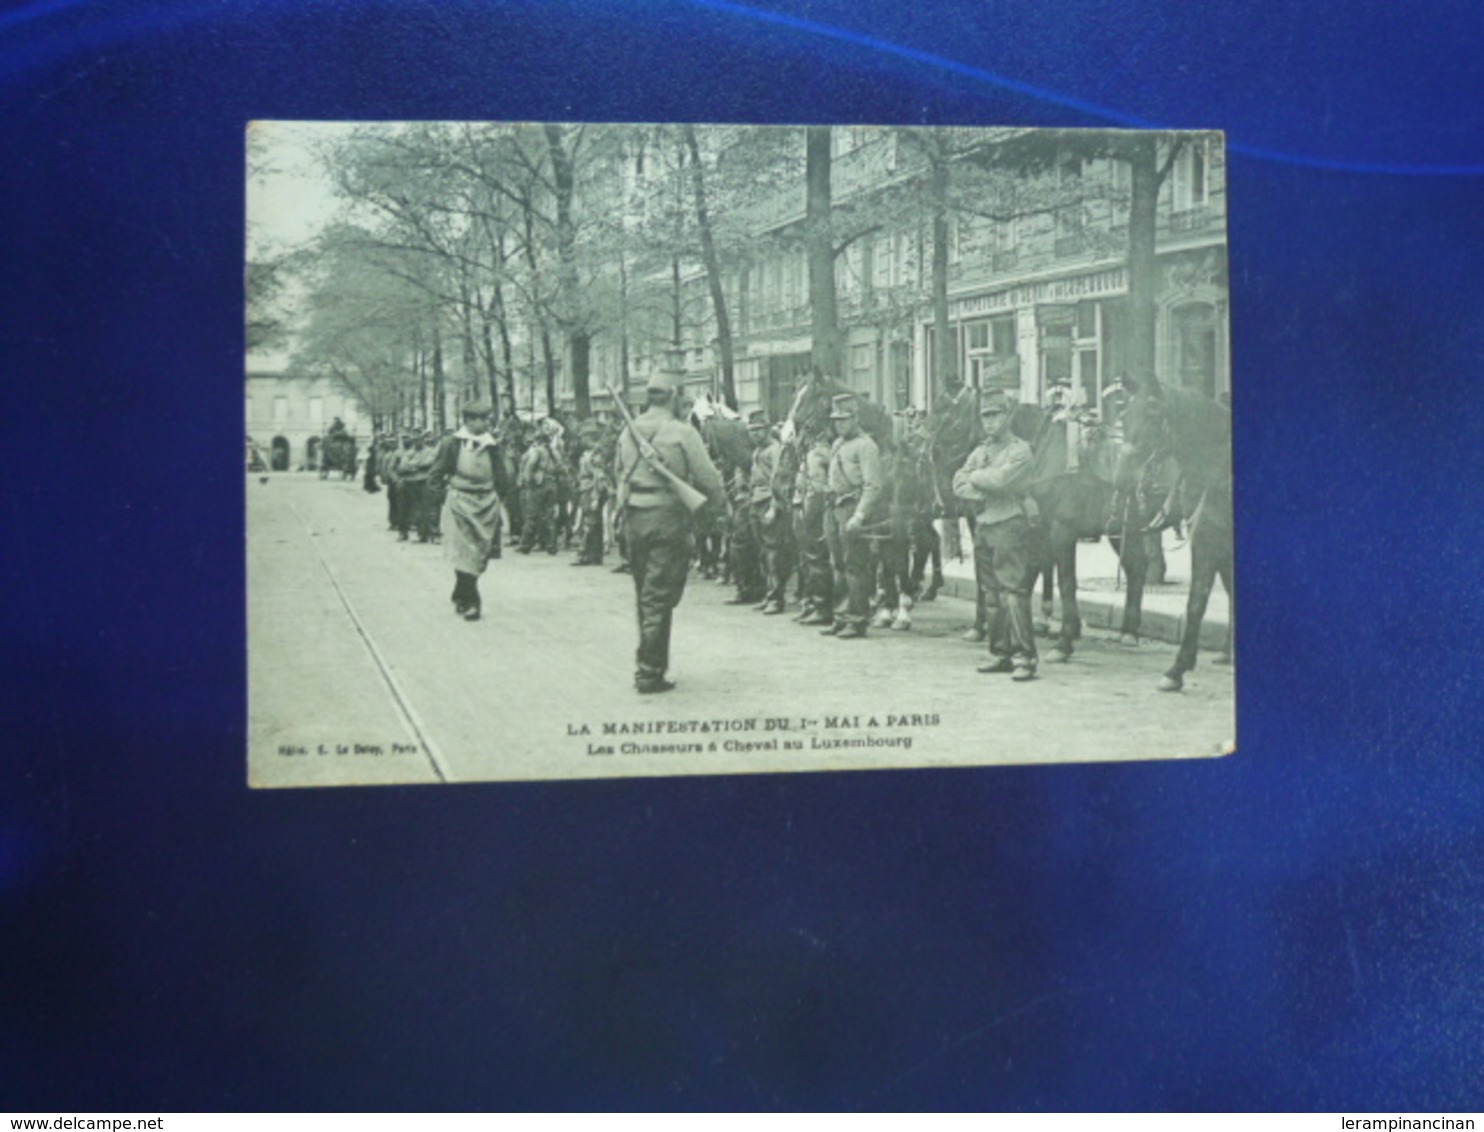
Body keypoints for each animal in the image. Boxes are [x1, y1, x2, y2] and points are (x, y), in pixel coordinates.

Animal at [1115, 373, 1234, 691]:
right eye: (1125, 416)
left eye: (1153, 414)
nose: (1121, 478)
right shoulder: (1208, 540)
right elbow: (1197, 602)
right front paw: (1178, 669)